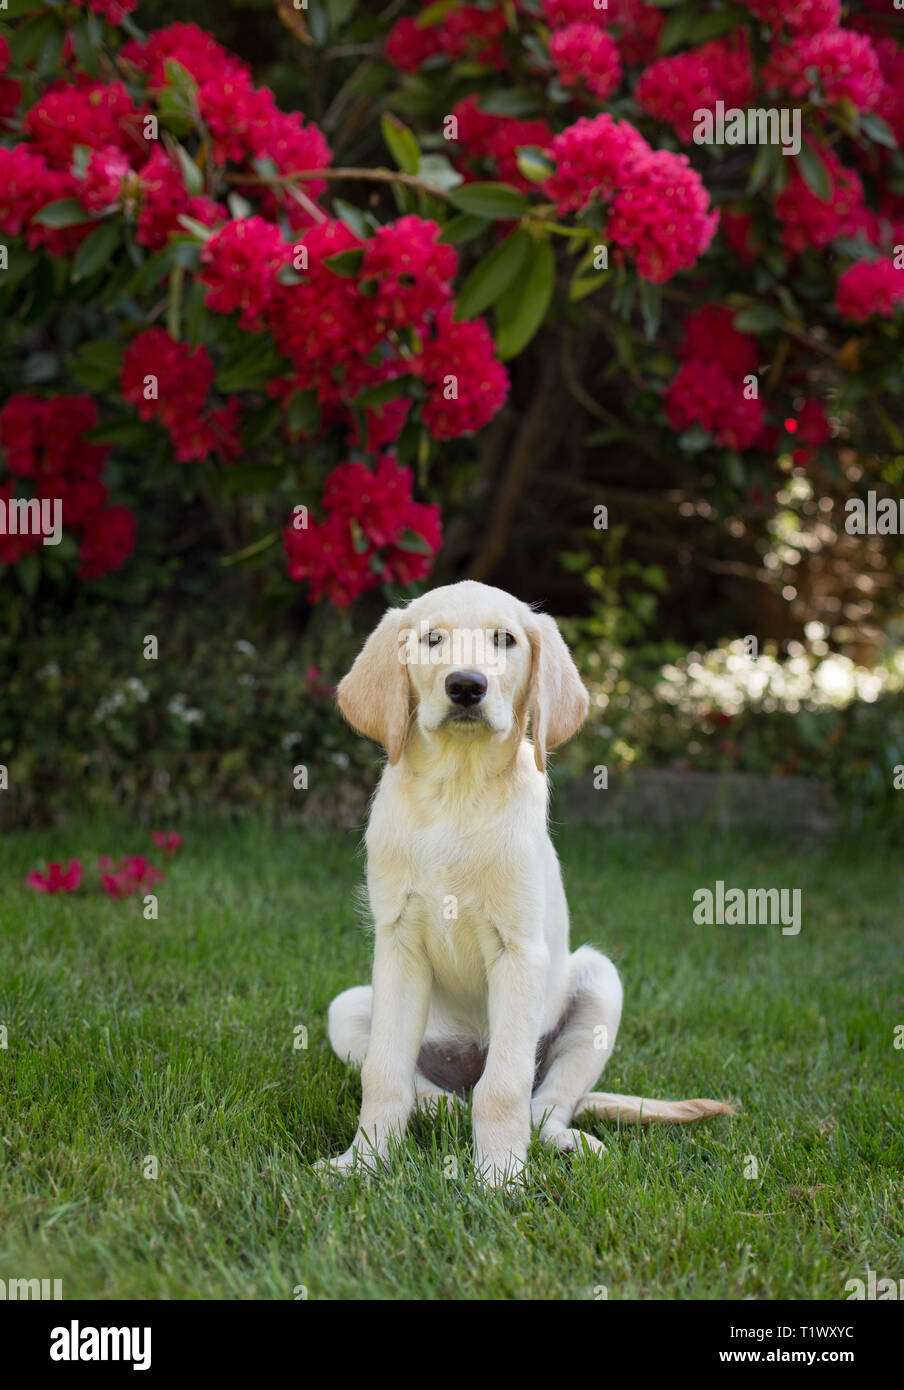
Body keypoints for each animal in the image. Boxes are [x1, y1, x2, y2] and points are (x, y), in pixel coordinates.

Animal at [319, 581, 728, 1189]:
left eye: (505, 640)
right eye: (432, 639)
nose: (466, 686)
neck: (458, 791)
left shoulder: (519, 951)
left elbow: (505, 1085)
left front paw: (500, 1179)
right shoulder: (398, 943)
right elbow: (383, 1074)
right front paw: (364, 1163)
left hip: (598, 984)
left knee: (543, 1102)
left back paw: (562, 1141)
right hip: (349, 1008)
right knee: (430, 1089)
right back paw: (441, 1111)